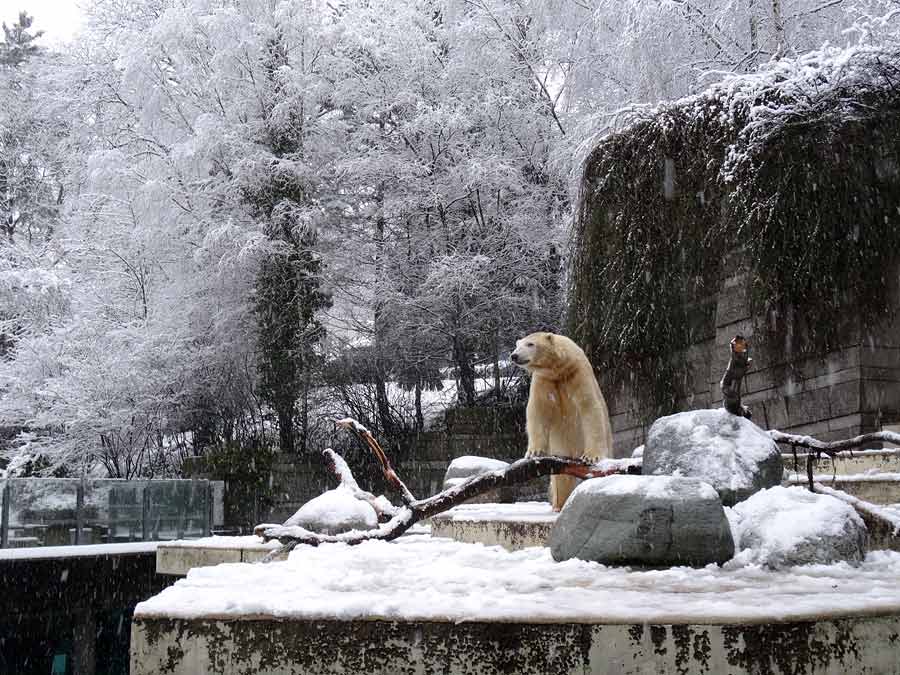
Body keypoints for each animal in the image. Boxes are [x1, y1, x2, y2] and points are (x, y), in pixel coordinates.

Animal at [510, 332, 616, 512]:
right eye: (517, 345)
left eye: (530, 344)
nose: (514, 355)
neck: (559, 369)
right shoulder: (543, 381)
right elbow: (537, 412)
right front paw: (534, 452)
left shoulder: (578, 374)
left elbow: (590, 409)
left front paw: (591, 457)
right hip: (560, 449)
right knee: (561, 478)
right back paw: (559, 505)